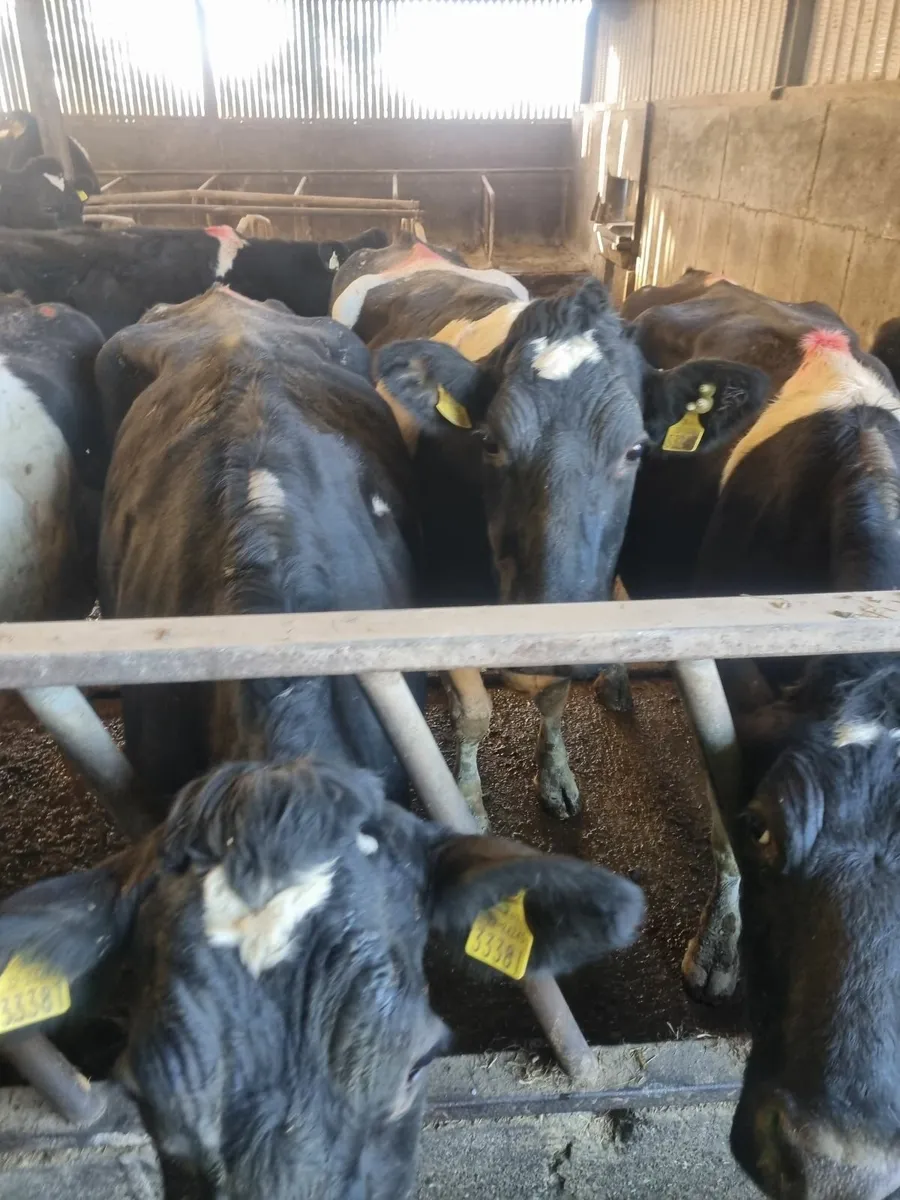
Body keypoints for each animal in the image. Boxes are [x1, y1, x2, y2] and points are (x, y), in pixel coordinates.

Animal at [331, 234, 766, 828]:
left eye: (636, 450)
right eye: (489, 442)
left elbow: (555, 700)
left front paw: (556, 775)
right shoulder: (440, 597)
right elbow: (474, 713)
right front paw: (469, 804)